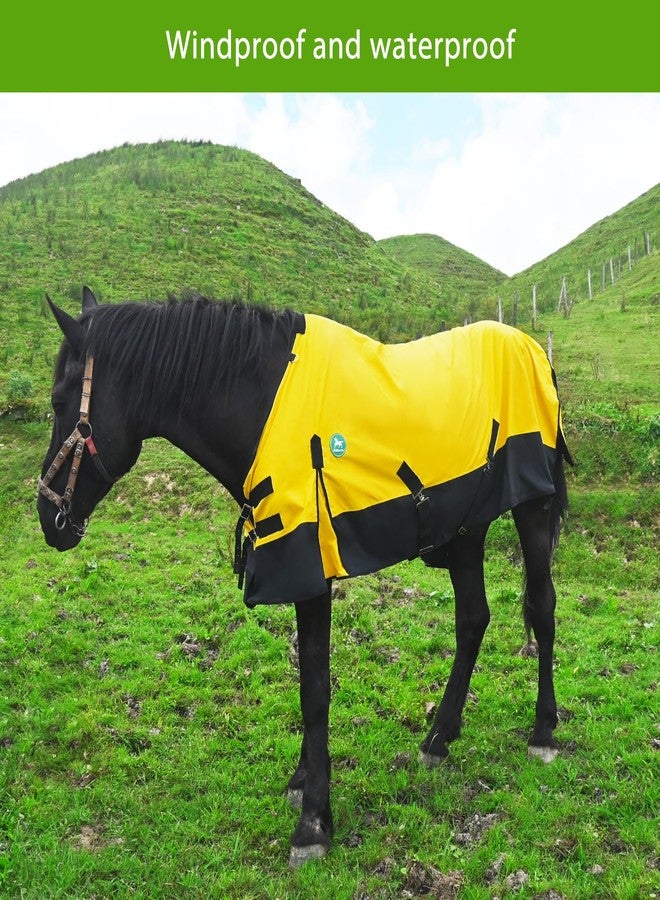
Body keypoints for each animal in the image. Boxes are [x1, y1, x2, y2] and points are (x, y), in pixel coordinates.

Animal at [37, 287, 571, 867]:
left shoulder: (309, 571)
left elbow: (314, 690)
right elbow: (305, 682)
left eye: (61, 403)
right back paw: (439, 737)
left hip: (533, 508)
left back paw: (543, 731)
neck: (266, 403)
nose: (47, 517)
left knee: (542, 608)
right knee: (473, 620)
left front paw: (314, 820)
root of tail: (533, 351)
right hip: (467, 525)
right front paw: (303, 780)